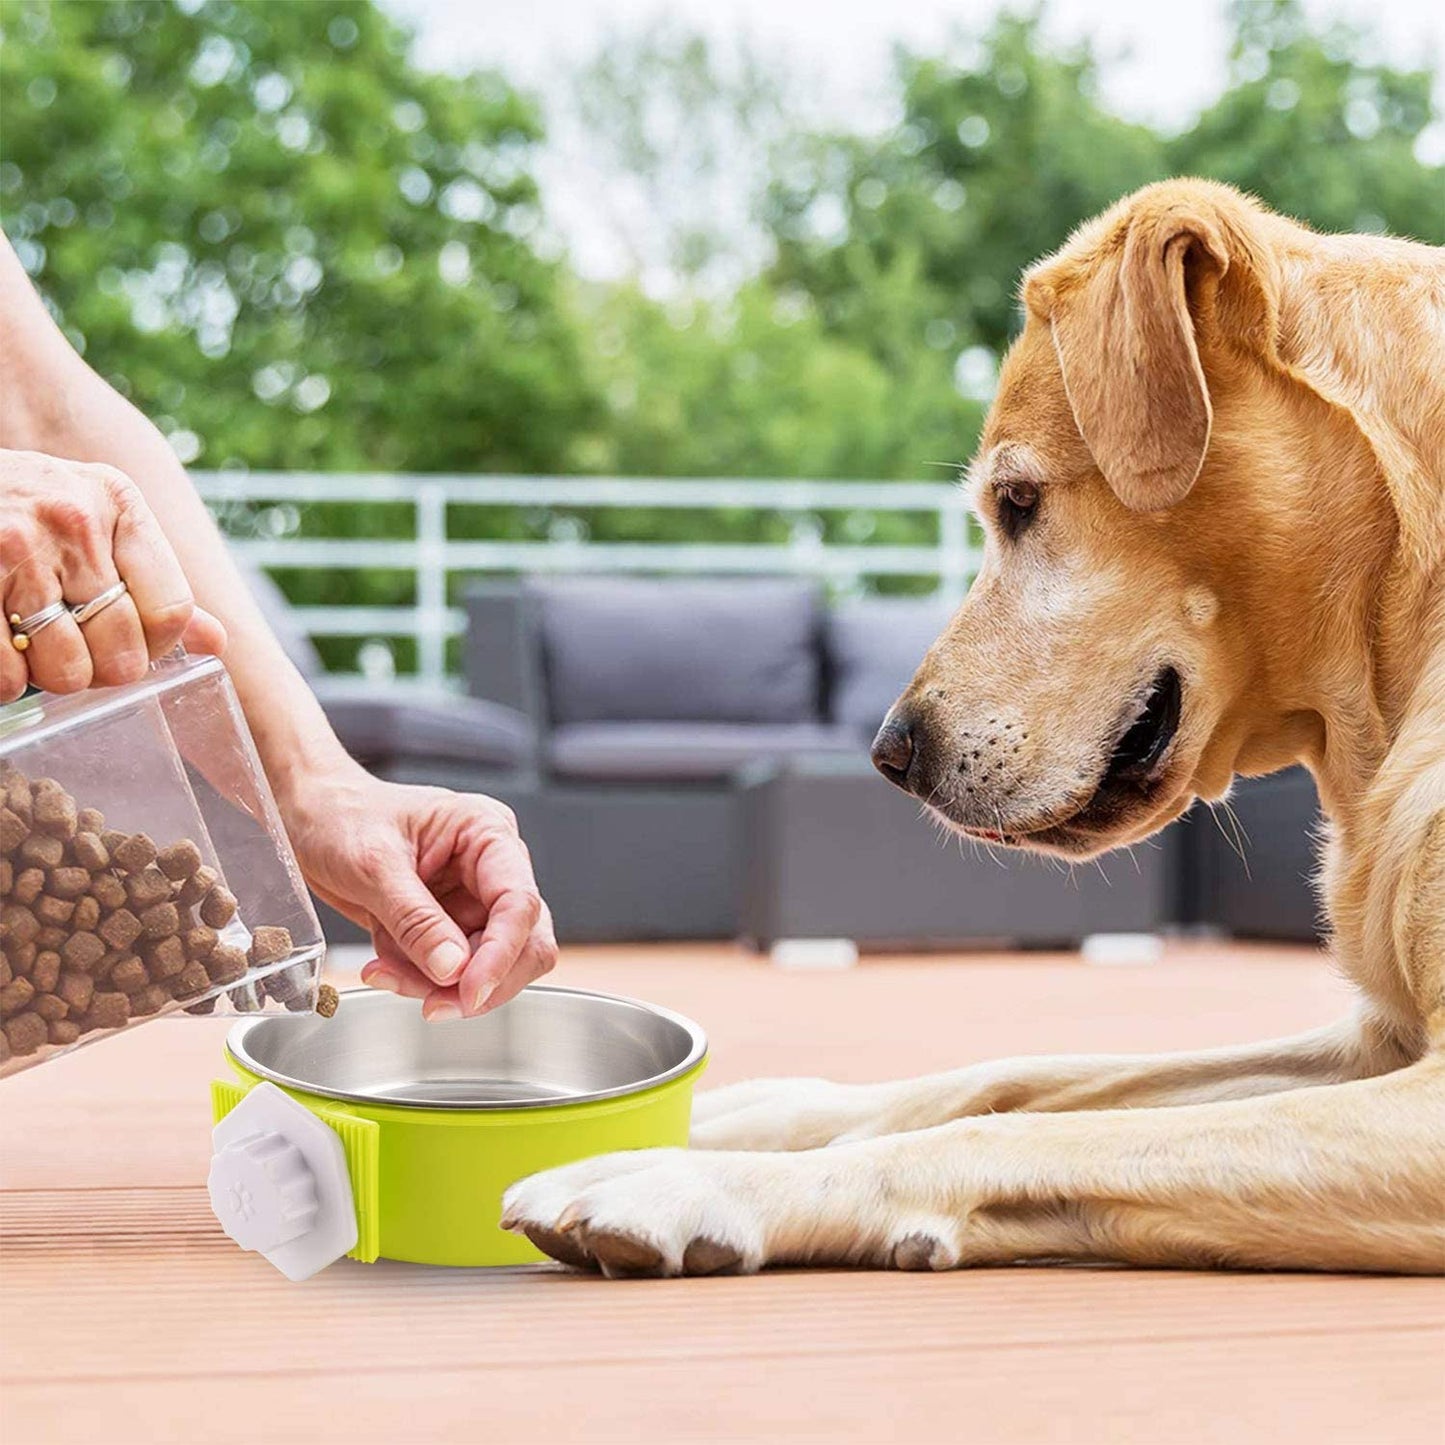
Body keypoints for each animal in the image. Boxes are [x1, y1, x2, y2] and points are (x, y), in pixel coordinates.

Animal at [499, 180, 1445, 1277]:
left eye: (1018, 500)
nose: (889, 755)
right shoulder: (1373, 1041)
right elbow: (1015, 1075)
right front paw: (752, 1114)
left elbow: (1019, 1128)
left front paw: (686, 1179)